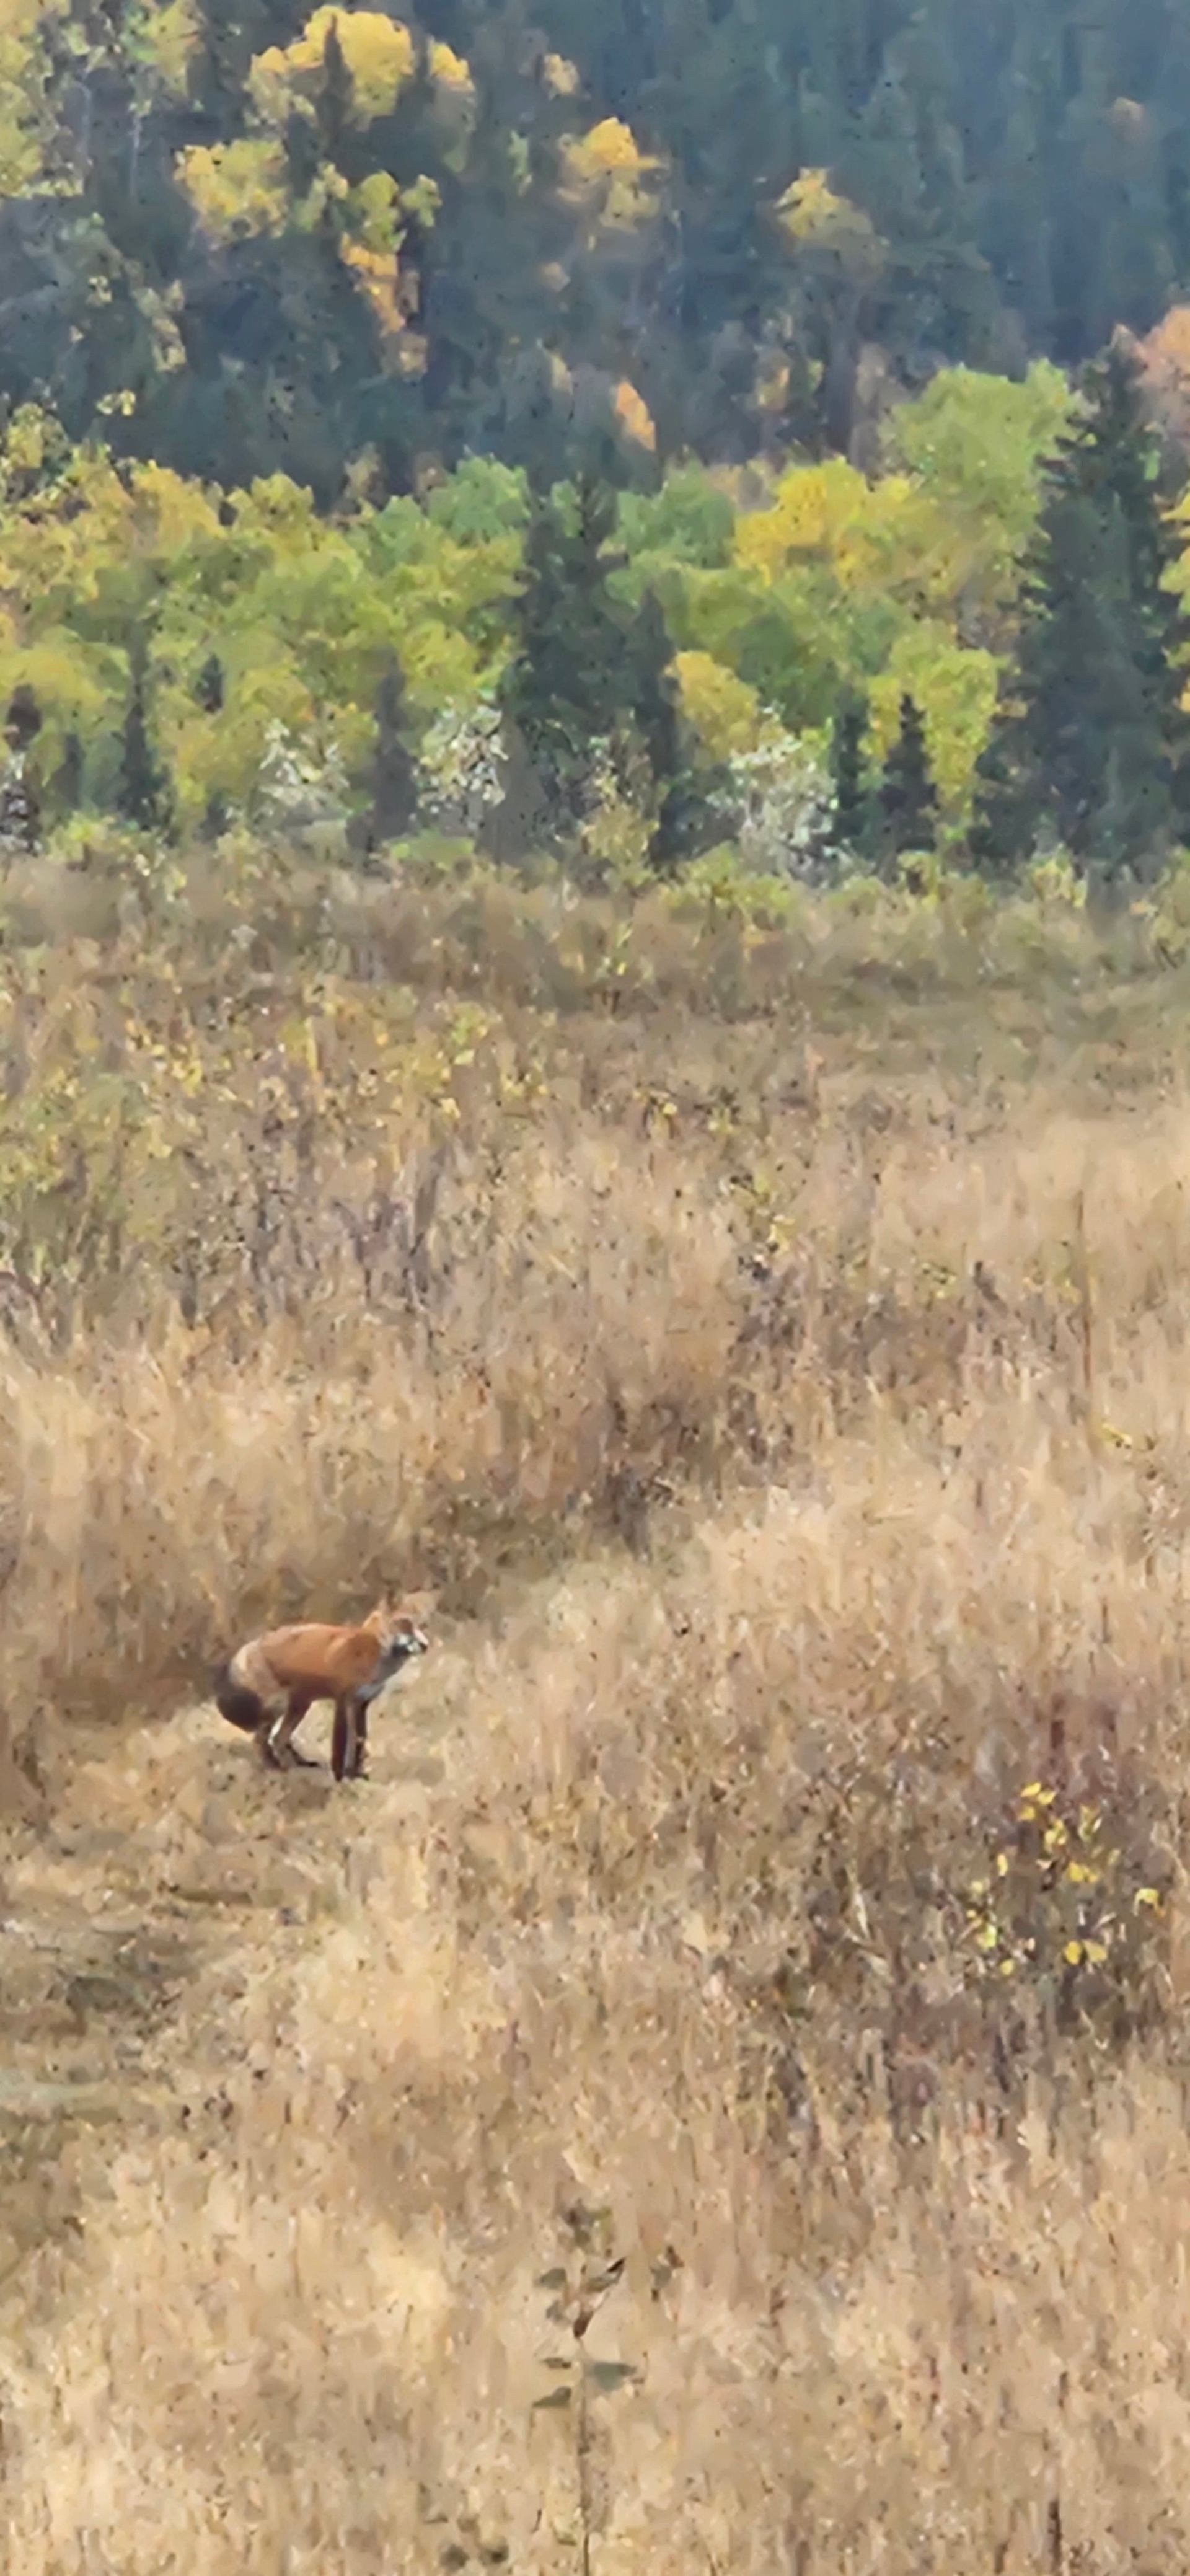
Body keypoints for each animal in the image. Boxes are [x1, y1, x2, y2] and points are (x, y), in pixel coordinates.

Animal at [211, 1599, 429, 1782]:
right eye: (405, 1623)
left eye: (421, 1625)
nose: (425, 1645)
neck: (372, 1649)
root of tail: (245, 1649)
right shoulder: (343, 1699)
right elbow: (341, 1745)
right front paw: (341, 1777)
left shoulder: (362, 1703)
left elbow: (360, 1739)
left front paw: (357, 1774)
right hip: (280, 1705)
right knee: (262, 1741)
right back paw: (277, 1770)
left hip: (300, 1706)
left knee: (279, 1739)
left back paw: (300, 1765)